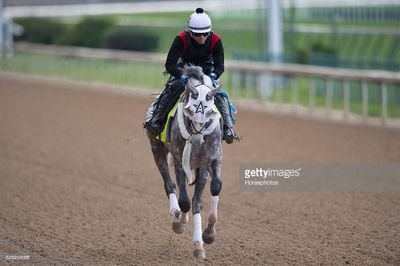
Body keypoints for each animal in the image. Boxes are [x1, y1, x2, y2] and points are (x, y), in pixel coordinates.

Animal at [145, 66, 223, 260]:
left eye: (209, 112)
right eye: (190, 111)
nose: (196, 141)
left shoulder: (212, 159)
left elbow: (214, 188)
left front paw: (207, 235)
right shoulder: (179, 160)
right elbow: (184, 201)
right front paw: (179, 223)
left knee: (196, 201)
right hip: (157, 149)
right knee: (170, 185)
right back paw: (176, 213)